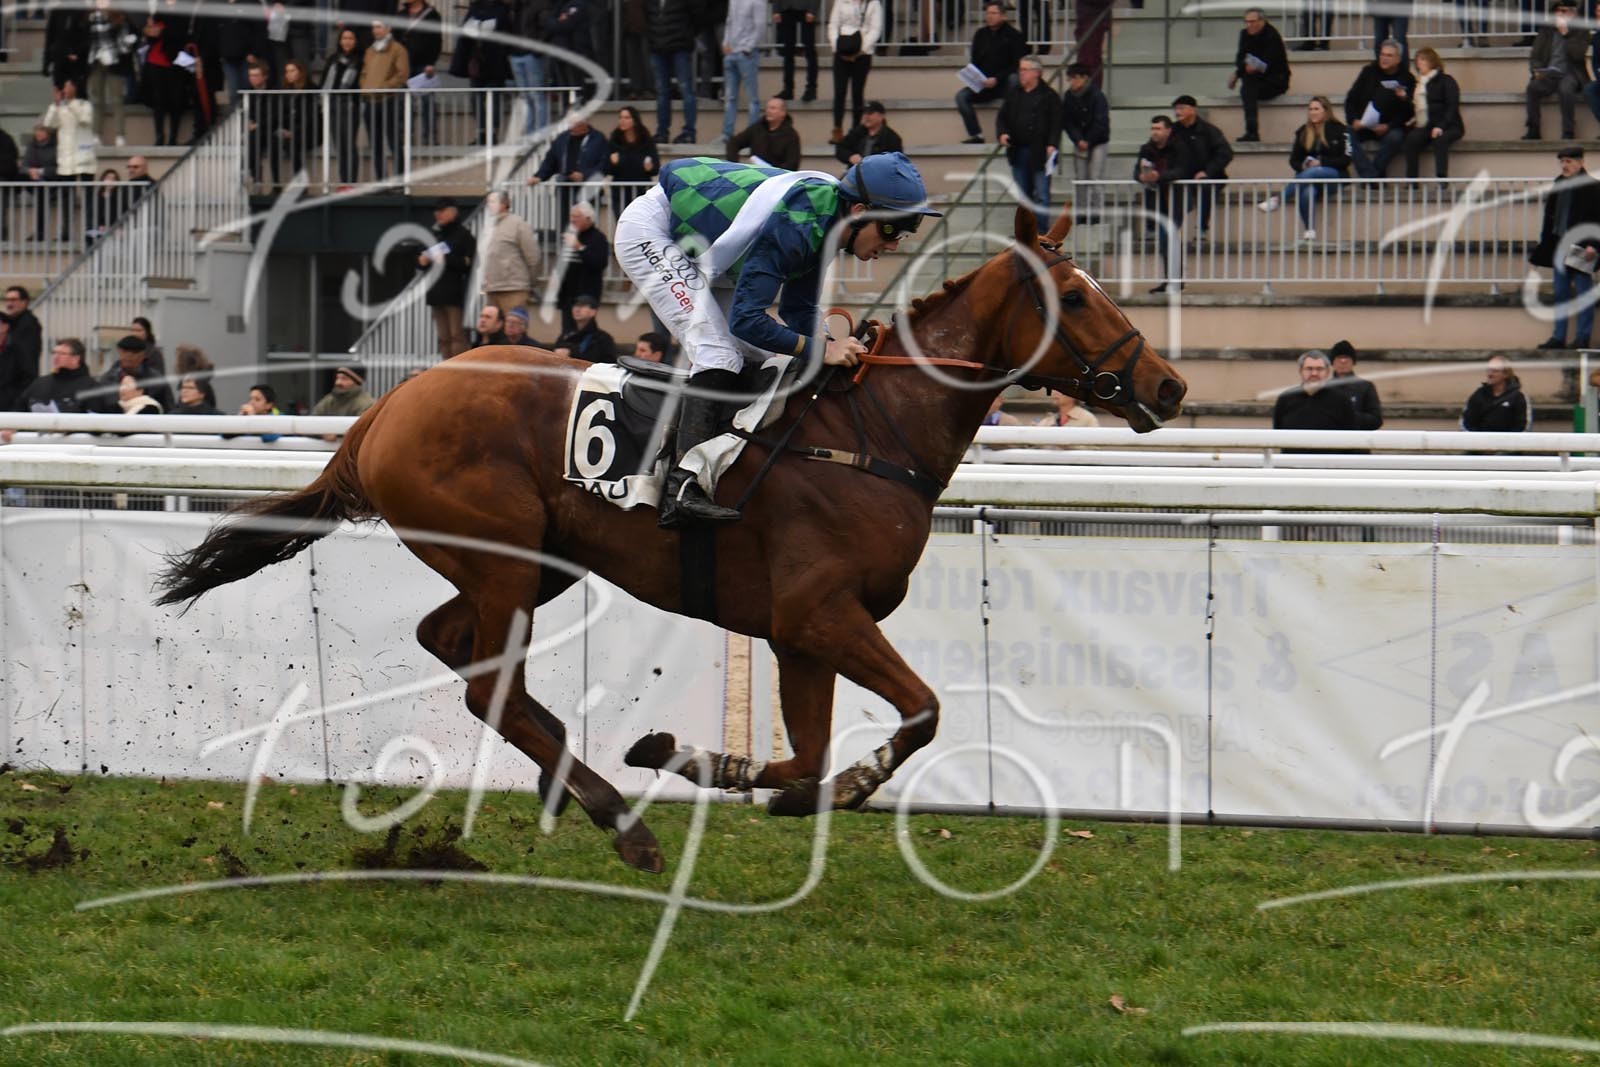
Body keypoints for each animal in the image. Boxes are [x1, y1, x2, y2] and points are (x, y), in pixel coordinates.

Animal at [156, 206, 1187, 874]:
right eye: (1078, 299)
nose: (1170, 386)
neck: (872, 432)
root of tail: (385, 406)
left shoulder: (799, 633)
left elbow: (807, 757)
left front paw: (707, 764)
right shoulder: (820, 614)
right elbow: (922, 712)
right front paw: (822, 784)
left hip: (536, 562)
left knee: (451, 647)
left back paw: (580, 784)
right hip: (506, 557)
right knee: (490, 684)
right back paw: (619, 818)